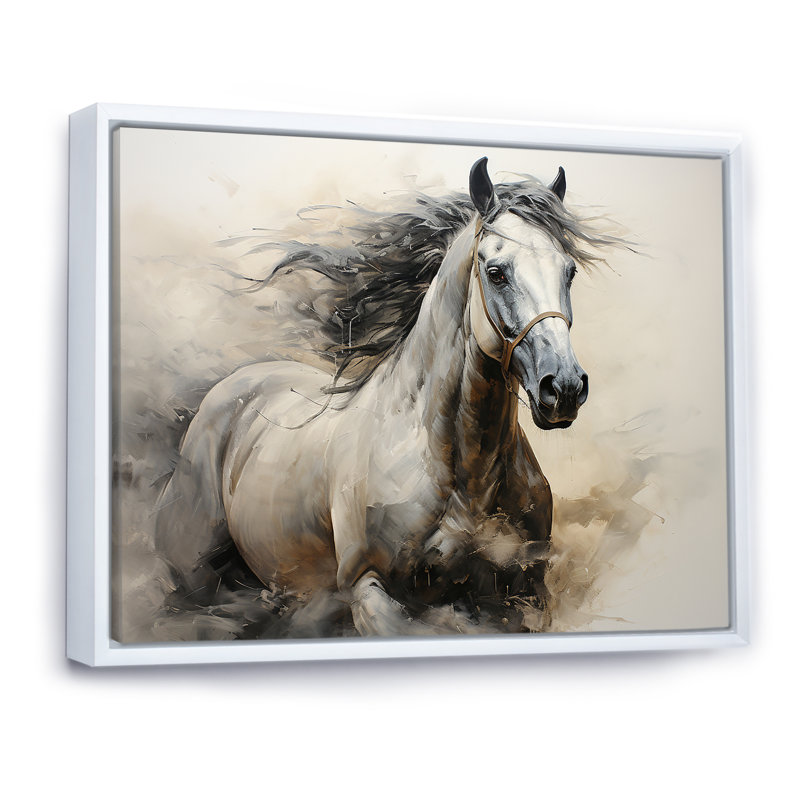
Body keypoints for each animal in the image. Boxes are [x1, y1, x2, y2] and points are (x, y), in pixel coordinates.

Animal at [154, 157, 612, 637]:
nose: (563, 387)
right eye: (496, 273)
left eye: (569, 272)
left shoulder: (523, 596)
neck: (459, 474)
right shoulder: (369, 590)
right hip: (193, 583)